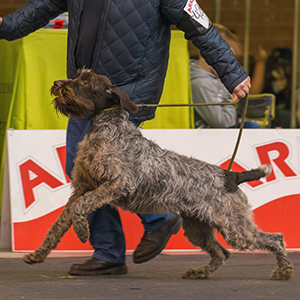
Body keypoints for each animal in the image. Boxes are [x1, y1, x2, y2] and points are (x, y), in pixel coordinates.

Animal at [22, 69, 292, 280]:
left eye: (86, 81)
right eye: (78, 75)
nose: (57, 83)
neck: (104, 128)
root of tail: (230, 176)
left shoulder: (118, 184)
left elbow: (81, 207)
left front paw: (82, 232)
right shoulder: (81, 188)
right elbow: (58, 225)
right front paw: (38, 254)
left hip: (234, 227)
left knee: (275, 238)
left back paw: (284, 271)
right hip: (197, 227)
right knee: (222, 253)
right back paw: (200, 272)